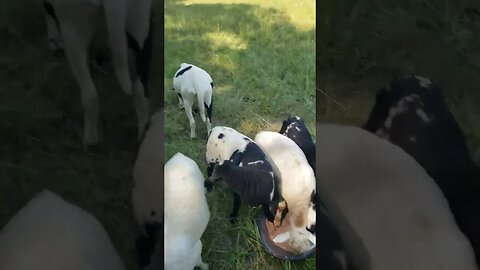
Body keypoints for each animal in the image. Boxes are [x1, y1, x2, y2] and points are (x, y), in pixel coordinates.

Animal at [43, 0, 153, 146]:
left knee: (90, 95)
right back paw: (143, 135)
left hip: (72, 25)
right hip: (140, 19)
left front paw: (54, 40)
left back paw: (89, 140)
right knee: (140, 90)